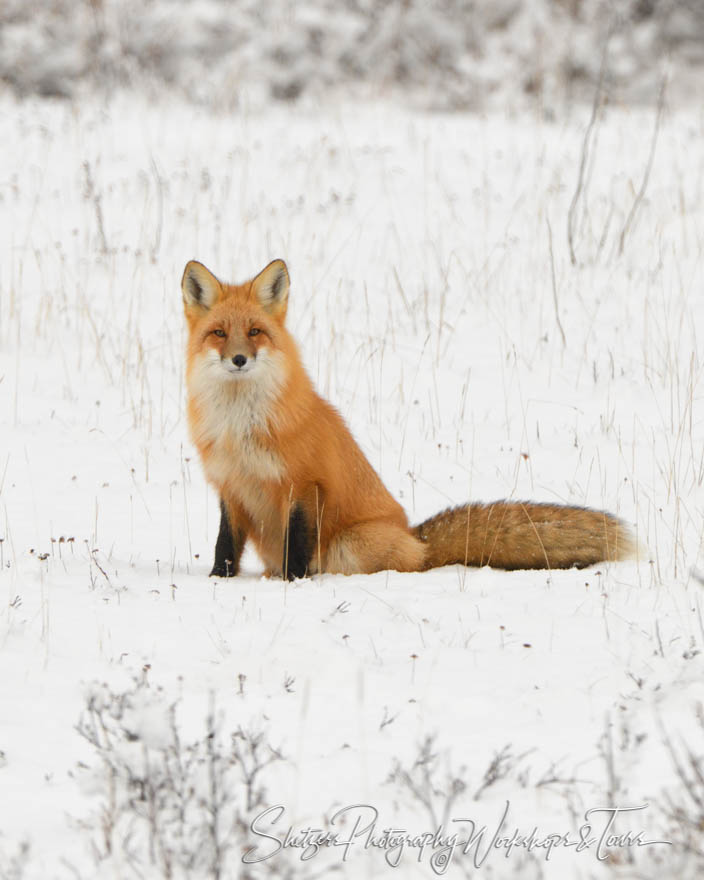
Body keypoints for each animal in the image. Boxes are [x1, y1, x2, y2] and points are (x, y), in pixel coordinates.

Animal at [180, 258, 632, 580]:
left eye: (255, 331)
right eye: (219, 333)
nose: (239, 359)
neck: (241, 427)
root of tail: (417, 540)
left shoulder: (303, 485)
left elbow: (297, 546)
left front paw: (292, 584)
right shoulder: (231, 487)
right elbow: (225, 544)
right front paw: (217, 580)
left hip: (349, 544)